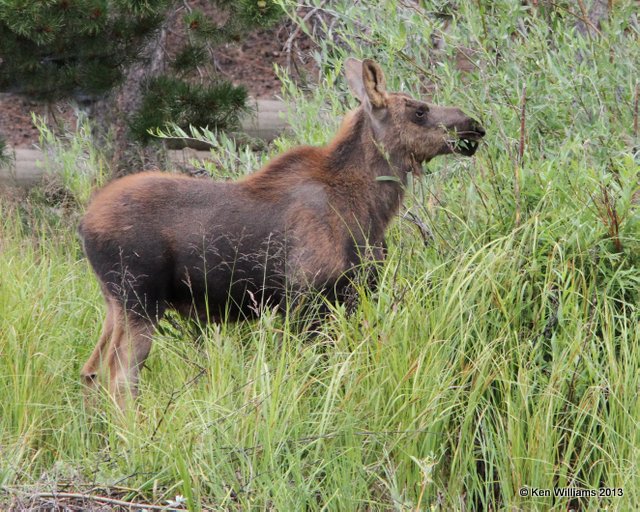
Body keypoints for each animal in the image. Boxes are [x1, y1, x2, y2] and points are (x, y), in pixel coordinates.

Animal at [79, 58, 484, 406]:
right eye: (419, 110)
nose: (474, 124)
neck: (369, 208)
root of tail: (84, 226)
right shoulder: (304, 297)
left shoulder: (345, 297)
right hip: (140, 298)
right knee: (120, 377)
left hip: (114, 302)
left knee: (90, 371)